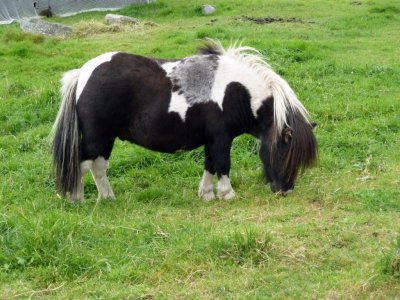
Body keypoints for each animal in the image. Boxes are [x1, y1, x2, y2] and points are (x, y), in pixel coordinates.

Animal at [51, 40, 318, 202]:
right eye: (283, 153)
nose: (284, 190)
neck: (236, 91)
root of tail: (83, 73)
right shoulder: (221, 138)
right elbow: (223, 164)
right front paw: (227, 194)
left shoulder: (212, 139)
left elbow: (210, 164)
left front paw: (207, 194)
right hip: (96, 138)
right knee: (81, 164)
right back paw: (77, 199)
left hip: (107, 138)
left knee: (98, 167)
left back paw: (107, 198)